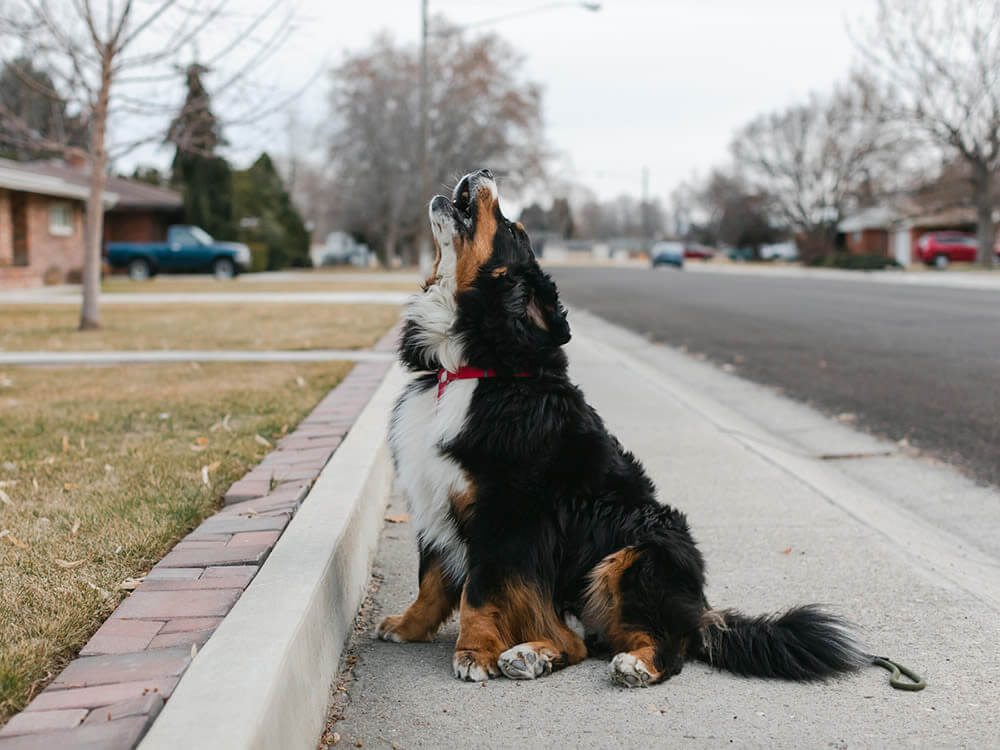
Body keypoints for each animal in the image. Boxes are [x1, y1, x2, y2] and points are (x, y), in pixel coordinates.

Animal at [376, 169, 868, 688]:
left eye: (512, 229)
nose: (484, 172)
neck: (468, 369)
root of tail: (702, 612)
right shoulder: (435, 495)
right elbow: (431, 578)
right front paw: (408, 626)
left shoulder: (504, 514)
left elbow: (478, 592)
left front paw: (473, 652)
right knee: (572, 639)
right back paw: (532, 654)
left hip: (637, 547)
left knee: (665, 648)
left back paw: (632, 664)